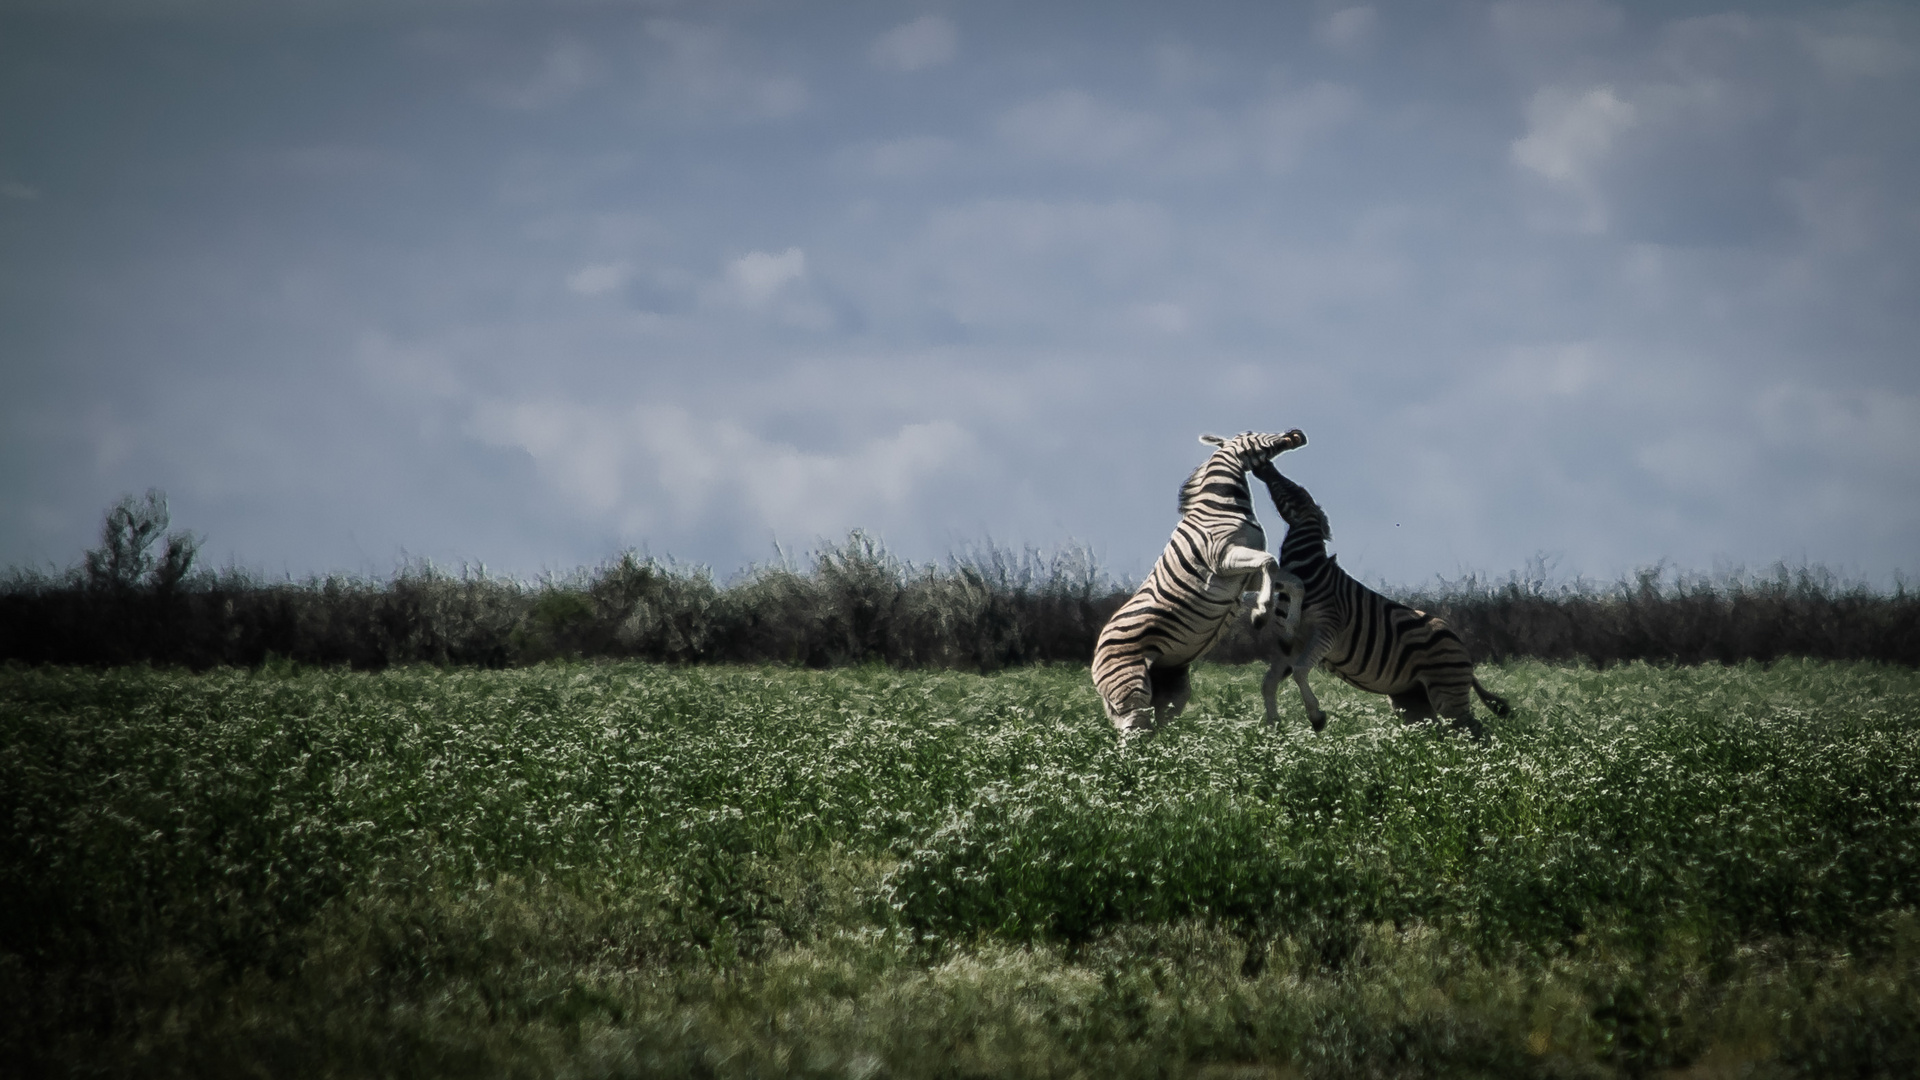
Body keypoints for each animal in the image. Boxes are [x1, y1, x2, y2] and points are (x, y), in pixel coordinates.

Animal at [1090, 428, 1313, 737]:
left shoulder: (1247, 576)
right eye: (1249, 433)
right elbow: (1270, 562)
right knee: (1132, 737)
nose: (1297, 433)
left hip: (1172, 687)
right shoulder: (1224, 559)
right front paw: (1260, 613)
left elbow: (1293, 581)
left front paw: (1289, 630)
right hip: (1131, 687)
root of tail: (1095, 654)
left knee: (1156, 729)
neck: (1222, 505)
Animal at [1251, 453, 1505, 737]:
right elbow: (1269, 682)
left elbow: (1300, 670)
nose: (1264, 466)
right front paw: (1272, 730)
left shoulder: (1327, 630)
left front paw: (1317, 717)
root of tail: (1460, 643)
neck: (1309, 570)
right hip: (1412, 699)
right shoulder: (1291, 641)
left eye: (1295, 489)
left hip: (1446, 692)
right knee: (1436, 735)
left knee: (1474, 732)